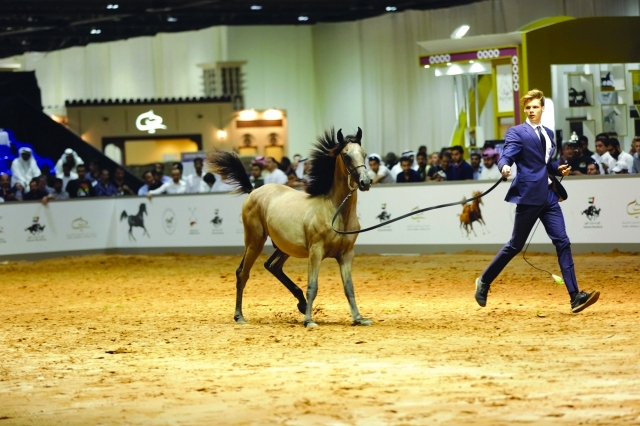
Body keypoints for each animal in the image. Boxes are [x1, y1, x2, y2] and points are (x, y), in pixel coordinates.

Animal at [208, 128, 372, 328]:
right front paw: (309, 321)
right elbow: (313, 286)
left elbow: (349, 287)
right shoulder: (316, 252)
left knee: (272, 266)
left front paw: (359, 318)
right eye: (346, 155)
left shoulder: (346, 254)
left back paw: (300, 303)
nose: (365, 182)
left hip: (283, 247)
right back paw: (240, 316)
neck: (334, 211)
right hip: (254, 243)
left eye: (364, 154)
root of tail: (253, 190)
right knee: (242, 273)